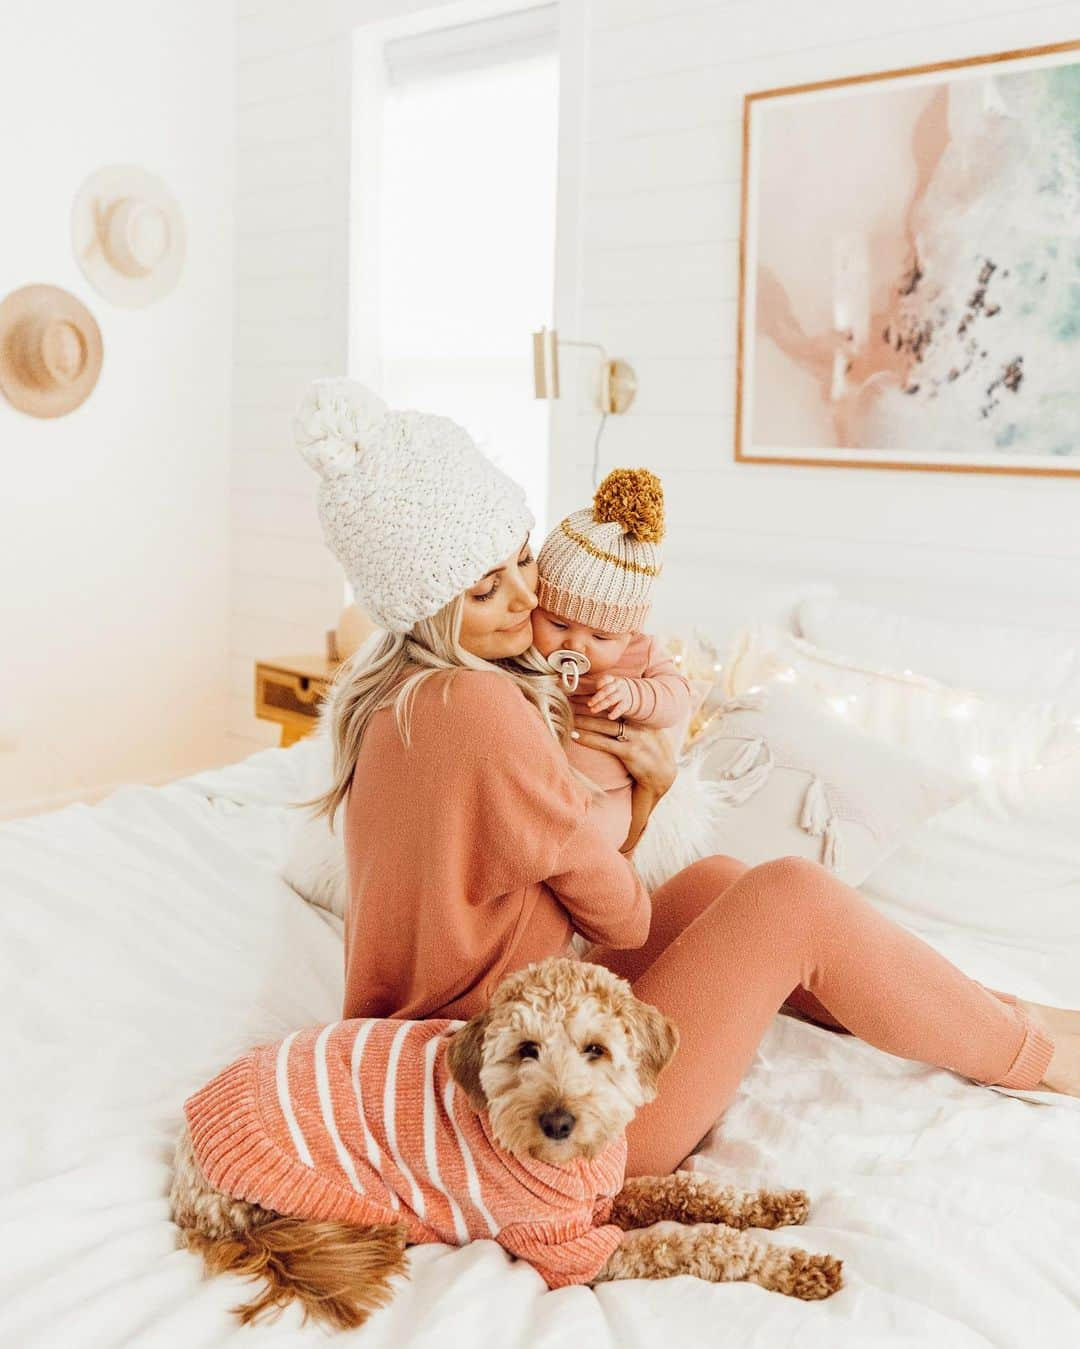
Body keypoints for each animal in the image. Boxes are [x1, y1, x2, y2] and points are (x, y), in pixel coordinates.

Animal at [170, 960, 841, 1327]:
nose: (559, 1121)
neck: (573, 1168)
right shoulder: (576, 1252)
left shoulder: (607, 1198)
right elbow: (695, 1244)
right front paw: (796, 1265)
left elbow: (685, 1189)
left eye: (596, 1049)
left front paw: (772, 1205)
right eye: (526, 1051)